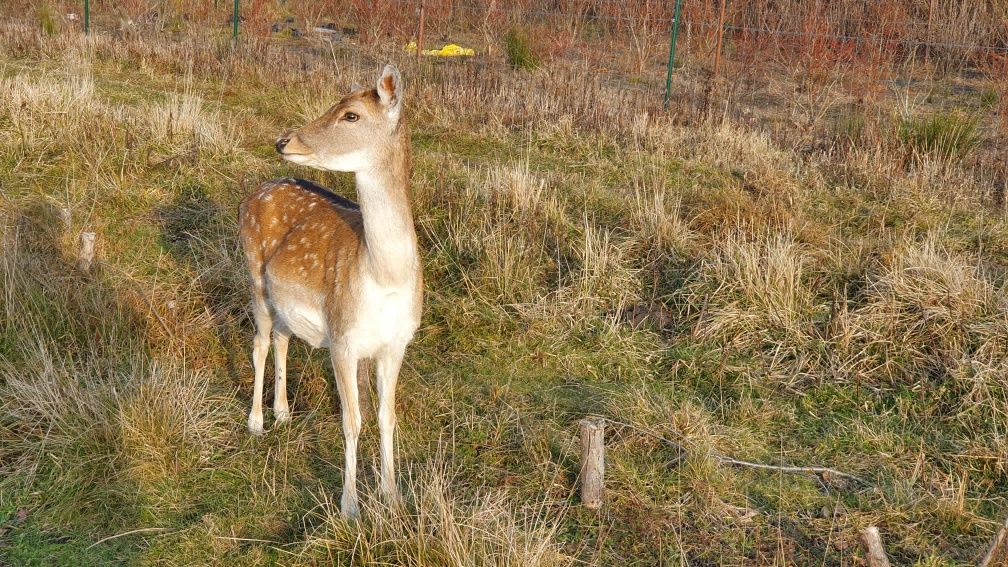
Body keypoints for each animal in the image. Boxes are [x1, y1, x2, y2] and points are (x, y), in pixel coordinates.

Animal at [237, 64, 419, 514]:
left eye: (351, 115)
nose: (284, 140)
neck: (385, 278)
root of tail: (253, 193)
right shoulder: (342, 338)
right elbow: (351, 421)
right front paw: (349, 506)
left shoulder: (397, 343)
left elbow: (387, 417)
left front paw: (392, 497)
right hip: (253, 277)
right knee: (260, 343)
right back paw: (257, 422)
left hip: (286, 302)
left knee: (282, 338)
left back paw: (284, 413)